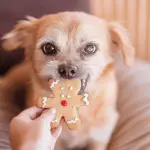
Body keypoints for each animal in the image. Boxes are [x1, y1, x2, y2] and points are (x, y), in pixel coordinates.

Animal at [0, 12, 135, 150]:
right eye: (48, 48)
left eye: (90, 48)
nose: (67, 70)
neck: (78, 110)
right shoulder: (57, 142)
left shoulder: (99, 137)